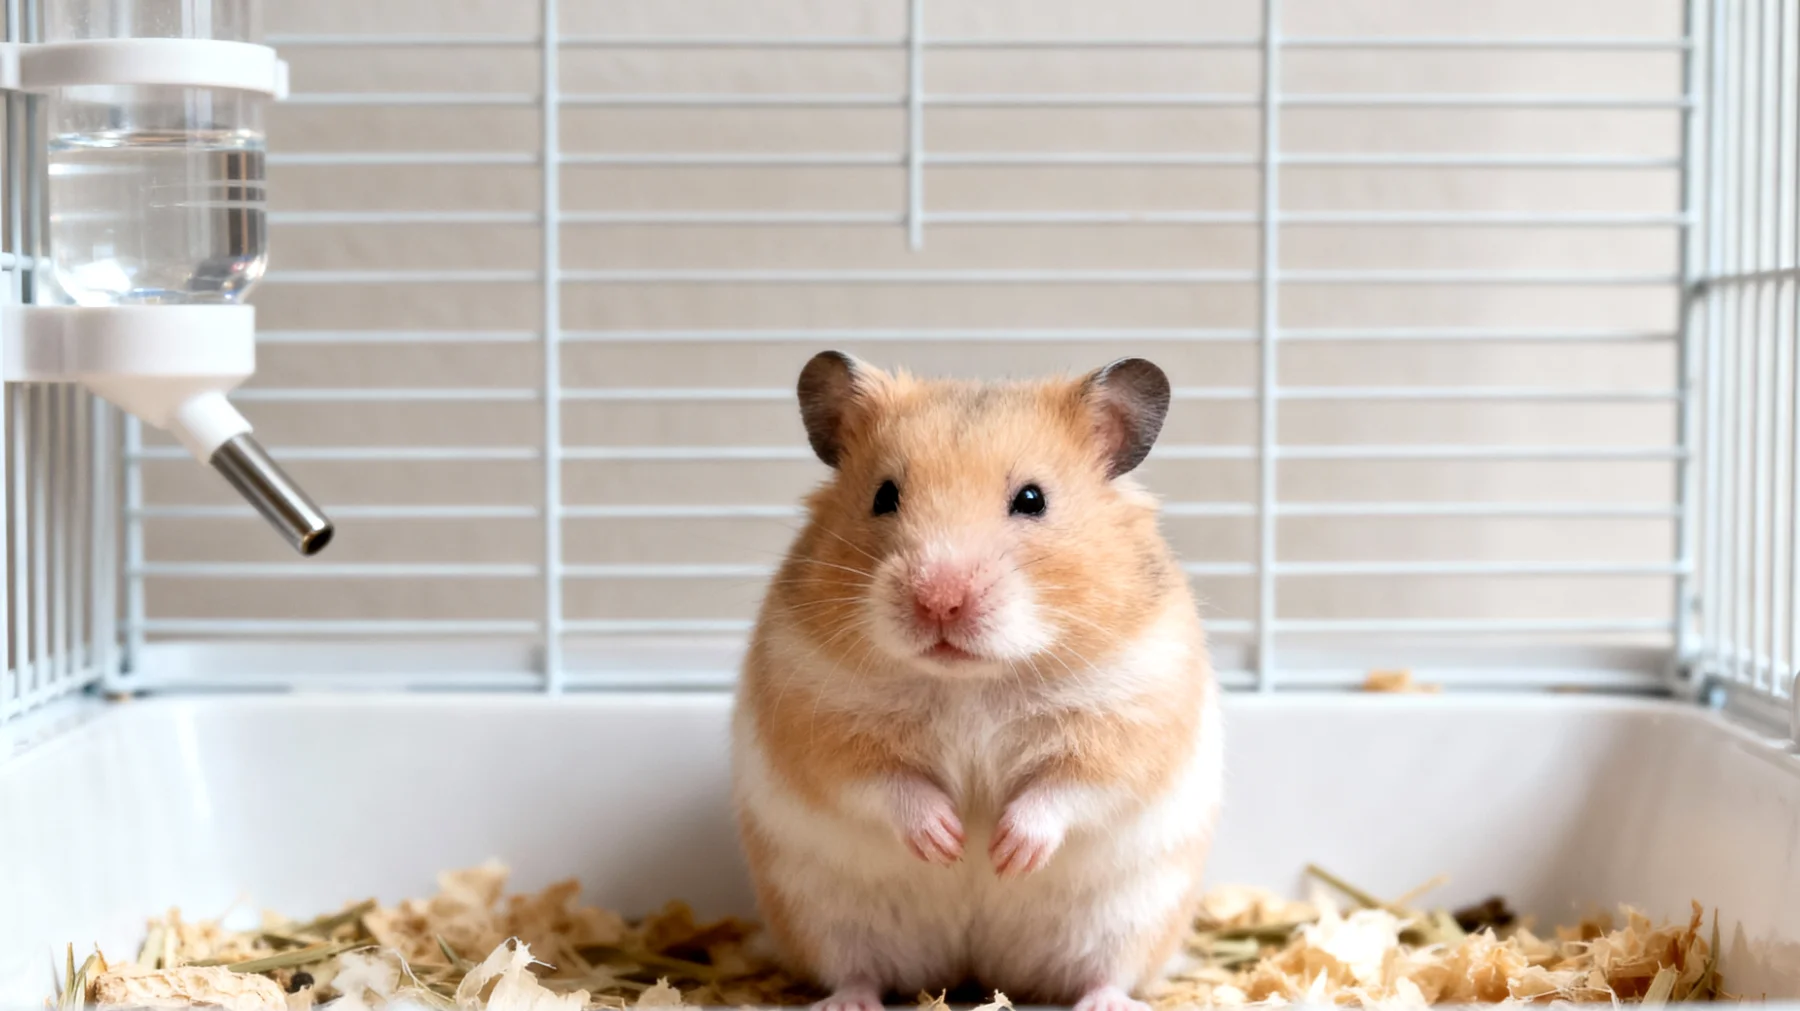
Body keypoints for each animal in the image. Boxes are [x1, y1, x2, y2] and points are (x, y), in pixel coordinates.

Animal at [731, 352, 1222, 1011]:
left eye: (1032, 499)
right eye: (884, 496)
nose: (939, 600)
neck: (972, 682)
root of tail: (974, 967)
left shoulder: (1131, 715)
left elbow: (1069, 787)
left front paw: (1005, 853)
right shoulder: (817, 717)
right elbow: (883, 782)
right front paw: (949, 843)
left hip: (1134, 917)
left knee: (1109, 972)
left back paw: (1104, 1001)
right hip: (818, 912)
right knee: (855, 968)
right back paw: (850, 1001)